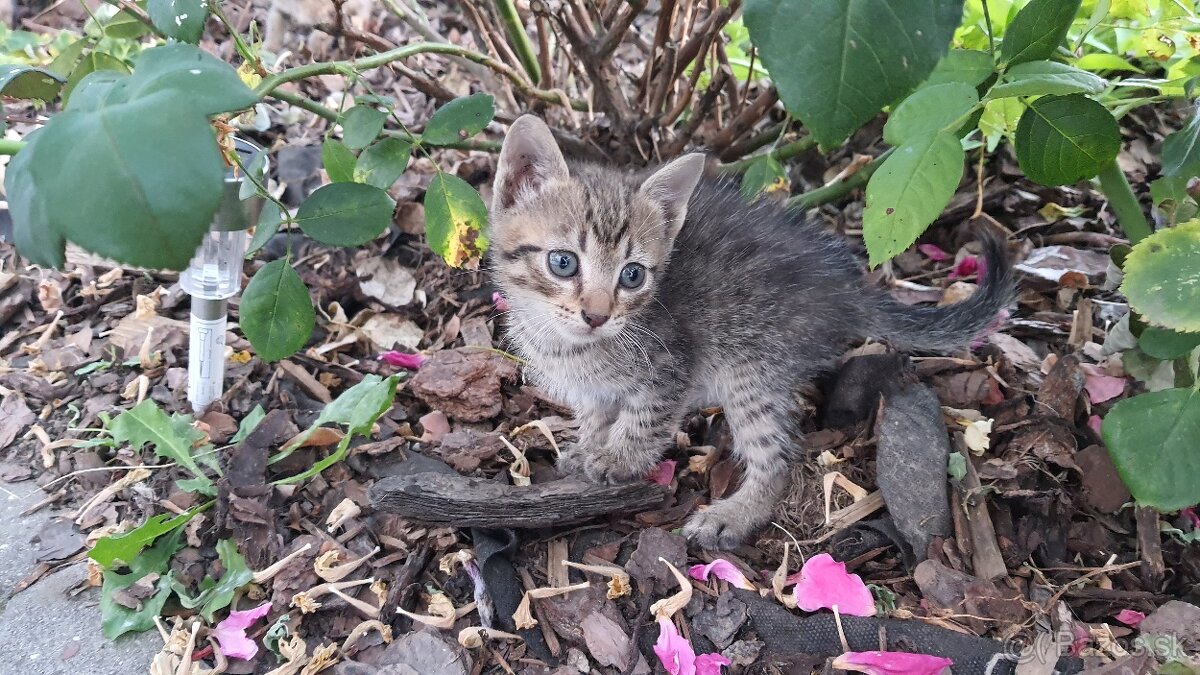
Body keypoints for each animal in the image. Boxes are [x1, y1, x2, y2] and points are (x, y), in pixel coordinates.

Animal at [487, 115, 1012, 547]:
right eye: (563, 263)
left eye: (632, 275)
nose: (596, 315)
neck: (571, 344)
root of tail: (844, 288)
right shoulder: (592, 387)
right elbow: (597, 412)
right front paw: (590, 447)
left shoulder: (673, 364)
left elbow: (645, 418)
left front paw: (620, 459)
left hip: (751, 368)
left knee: (778, 456)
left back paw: (735, 514)